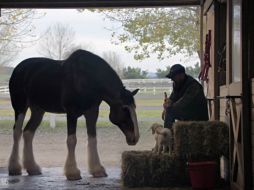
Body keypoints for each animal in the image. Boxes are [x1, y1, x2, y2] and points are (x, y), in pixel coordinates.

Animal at [7, 49, 139, 180]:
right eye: (124, 108)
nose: (135, 138)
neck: (86, 78)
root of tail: (18, 68)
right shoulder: (71, 113)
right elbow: (71, 140)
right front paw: (72, 172)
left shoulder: (92, 112)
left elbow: (93, 139)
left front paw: (97, 170)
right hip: (20, 107)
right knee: (17, 132)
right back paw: (14, 168)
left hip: (38, 111)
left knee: (28, 133)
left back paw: (32, 168)